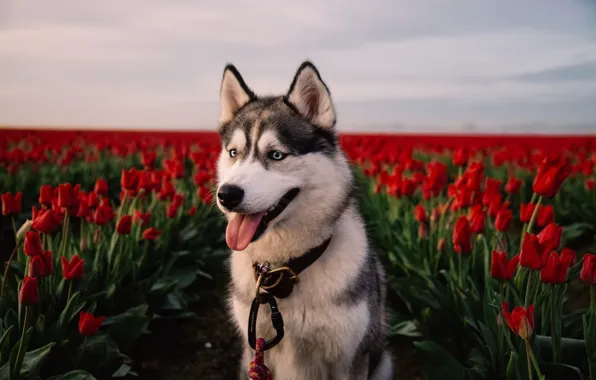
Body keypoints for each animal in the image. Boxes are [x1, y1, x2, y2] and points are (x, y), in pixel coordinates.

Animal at [217, 60, 394, 378]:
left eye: (276, 155)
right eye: (233, 153)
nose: (226, 195)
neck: (285, 268)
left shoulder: (349, 358)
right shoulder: (255, 350)